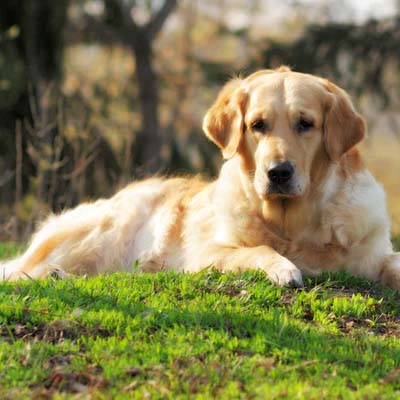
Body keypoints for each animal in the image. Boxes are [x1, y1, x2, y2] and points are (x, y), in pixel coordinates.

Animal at [1, 67, 398, 290]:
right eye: (258, 125)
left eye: (306, 124)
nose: (278, 173)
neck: (294, 225)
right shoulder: (205, 253)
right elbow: (257, 249)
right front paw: (284, 268)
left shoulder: (375, 252)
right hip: (100, 234)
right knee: (24, 272)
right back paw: (51, 275)